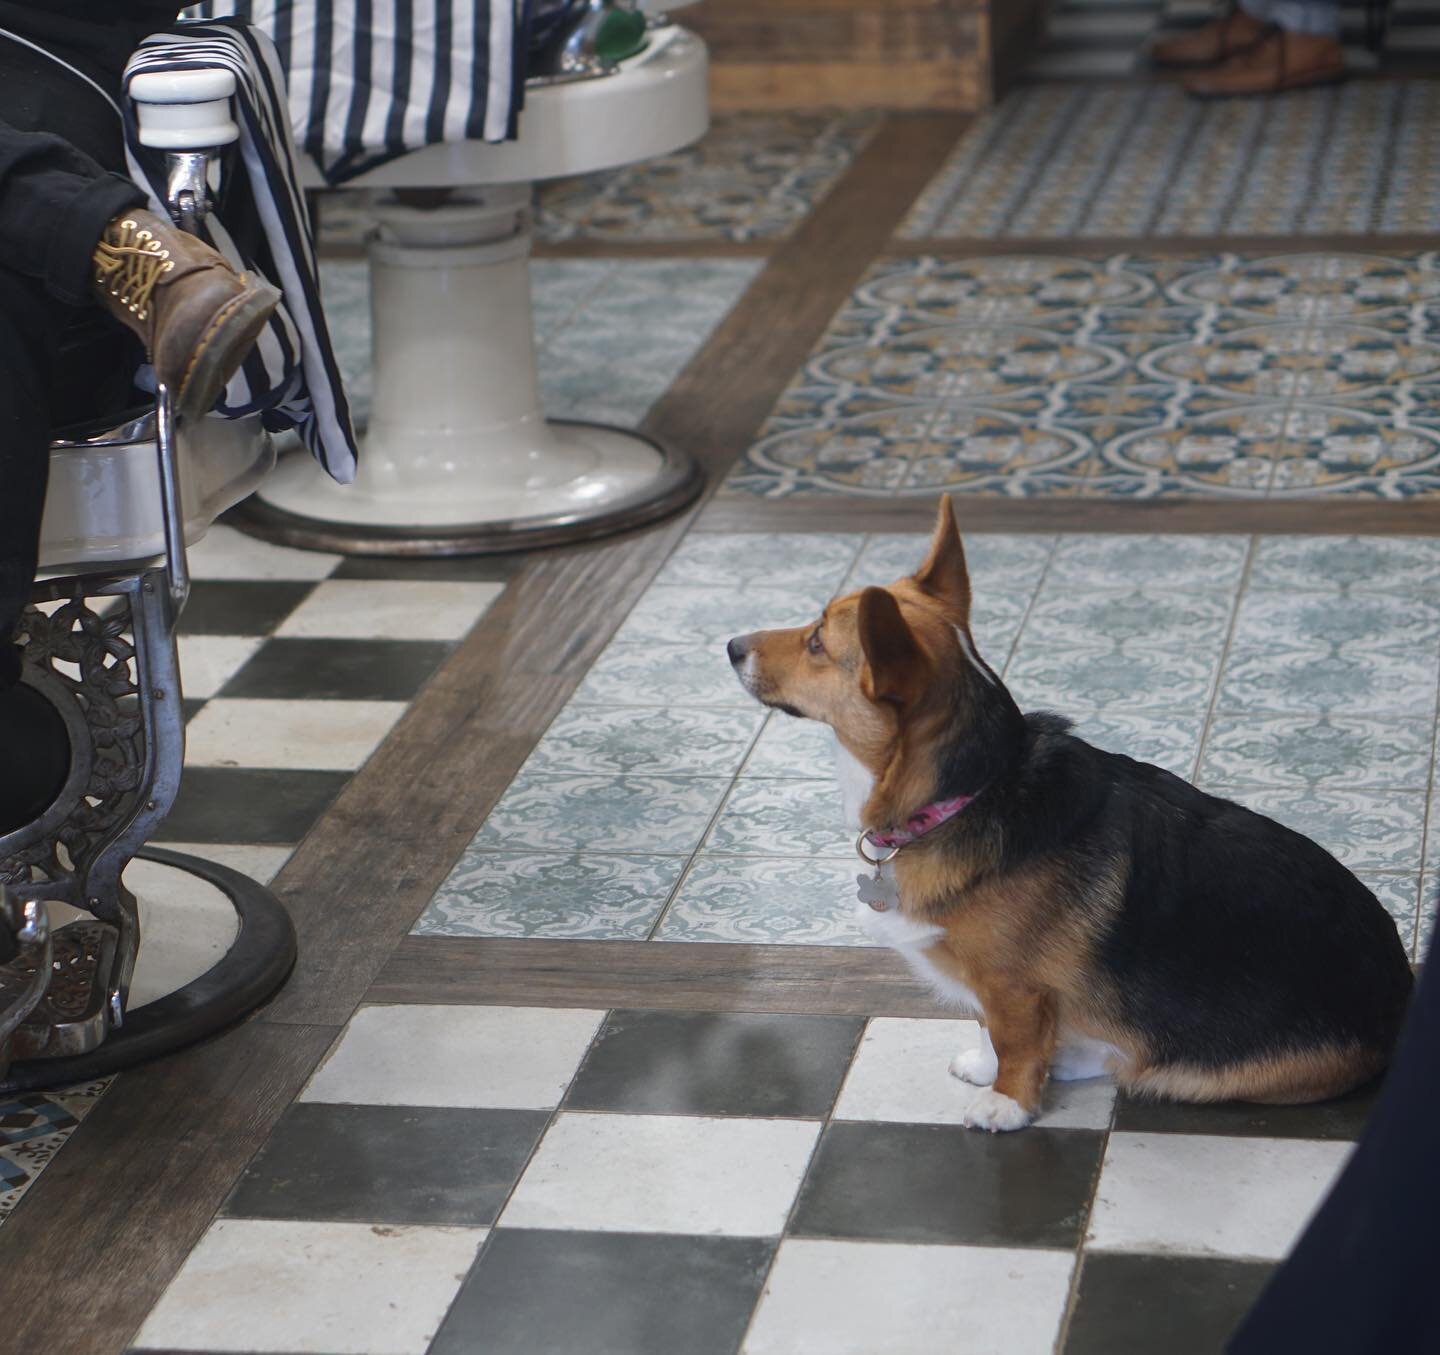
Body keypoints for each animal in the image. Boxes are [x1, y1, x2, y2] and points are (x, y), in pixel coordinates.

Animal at [725, 498, 1411, 1128]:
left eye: (817, 642)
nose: (730, 644)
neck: (974, 791)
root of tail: (1401, 995)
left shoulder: (1013, 986)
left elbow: (1015, 1040)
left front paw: (1006, 1103)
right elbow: (990, 1031)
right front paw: (987, 1069)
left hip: (1199, 1071)